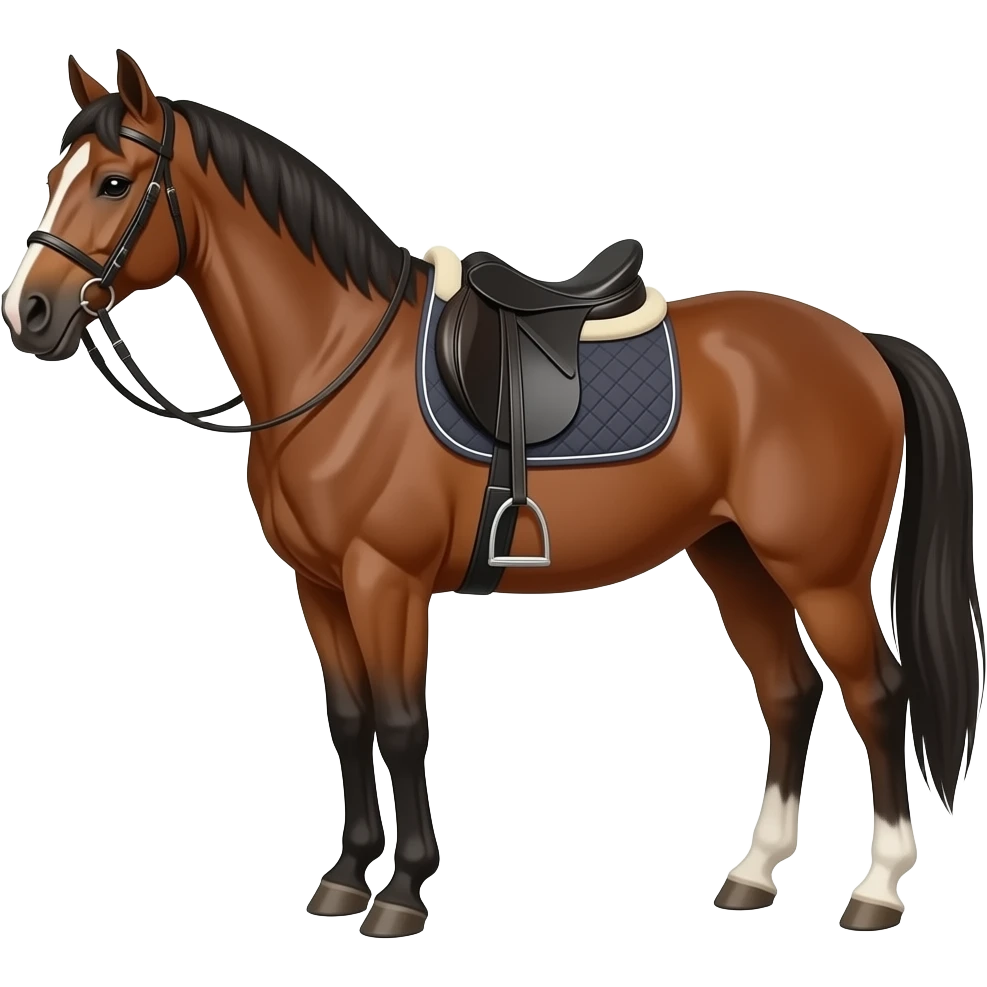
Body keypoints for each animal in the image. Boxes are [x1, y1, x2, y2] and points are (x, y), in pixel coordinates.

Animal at [2, 50, 982, 938]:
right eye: (55, 176)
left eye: (115, 182)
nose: (31, 315)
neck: (336, 359)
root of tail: (861, 345)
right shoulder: (319, 585)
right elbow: (348, 719)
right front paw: (346, 875)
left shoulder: (385, 580)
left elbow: (402, 722)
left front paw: (401, 891)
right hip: (731, 554)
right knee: (786, 690)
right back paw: (751, 872)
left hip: (820, 573)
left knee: (876, 693)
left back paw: (876, 889)